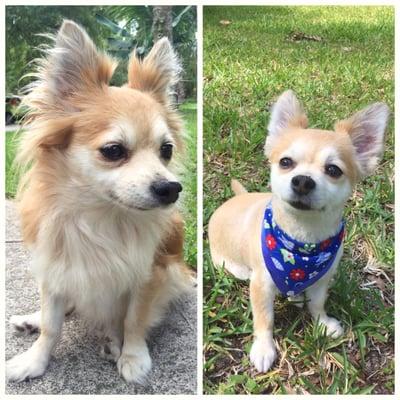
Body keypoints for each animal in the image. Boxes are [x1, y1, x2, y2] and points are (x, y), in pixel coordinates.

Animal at [6, 20, 194, 382]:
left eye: (166, 150)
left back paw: (113, 342)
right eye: (113, 151)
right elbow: (52, 325)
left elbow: (134, 319)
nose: (170, 188)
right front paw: (35, 360)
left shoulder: (151, 273)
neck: (101, 216)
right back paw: (32, 319)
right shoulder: (55, 266)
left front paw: (133, 356)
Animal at [208, 90, 390, 372]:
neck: (302, 243)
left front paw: (322, 323)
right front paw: (264, 348)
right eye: (286, 162)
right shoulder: (261, 285)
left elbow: (317, 303)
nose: (303, 180)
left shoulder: (322, 279)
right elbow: (264, 319)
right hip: (233, 268)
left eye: (333, 170)